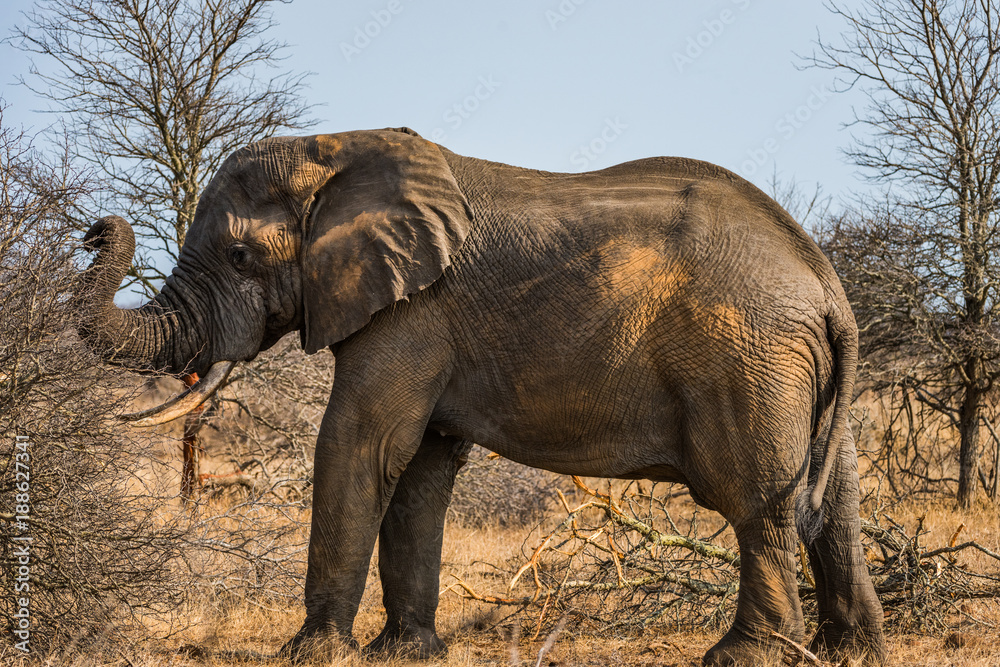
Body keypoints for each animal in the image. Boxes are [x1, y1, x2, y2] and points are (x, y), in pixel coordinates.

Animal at [75, 127, 886, 666]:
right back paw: (851, 651)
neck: (334, 150)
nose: (93, 229)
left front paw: (308, 653)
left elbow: (359, 443)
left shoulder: (411, 312)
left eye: (241, 255)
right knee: (836, 498)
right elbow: (420, 466)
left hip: (747, 361)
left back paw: (744, 655)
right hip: (799, 374)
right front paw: (404, 652)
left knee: (756, 502)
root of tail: (825, 282)